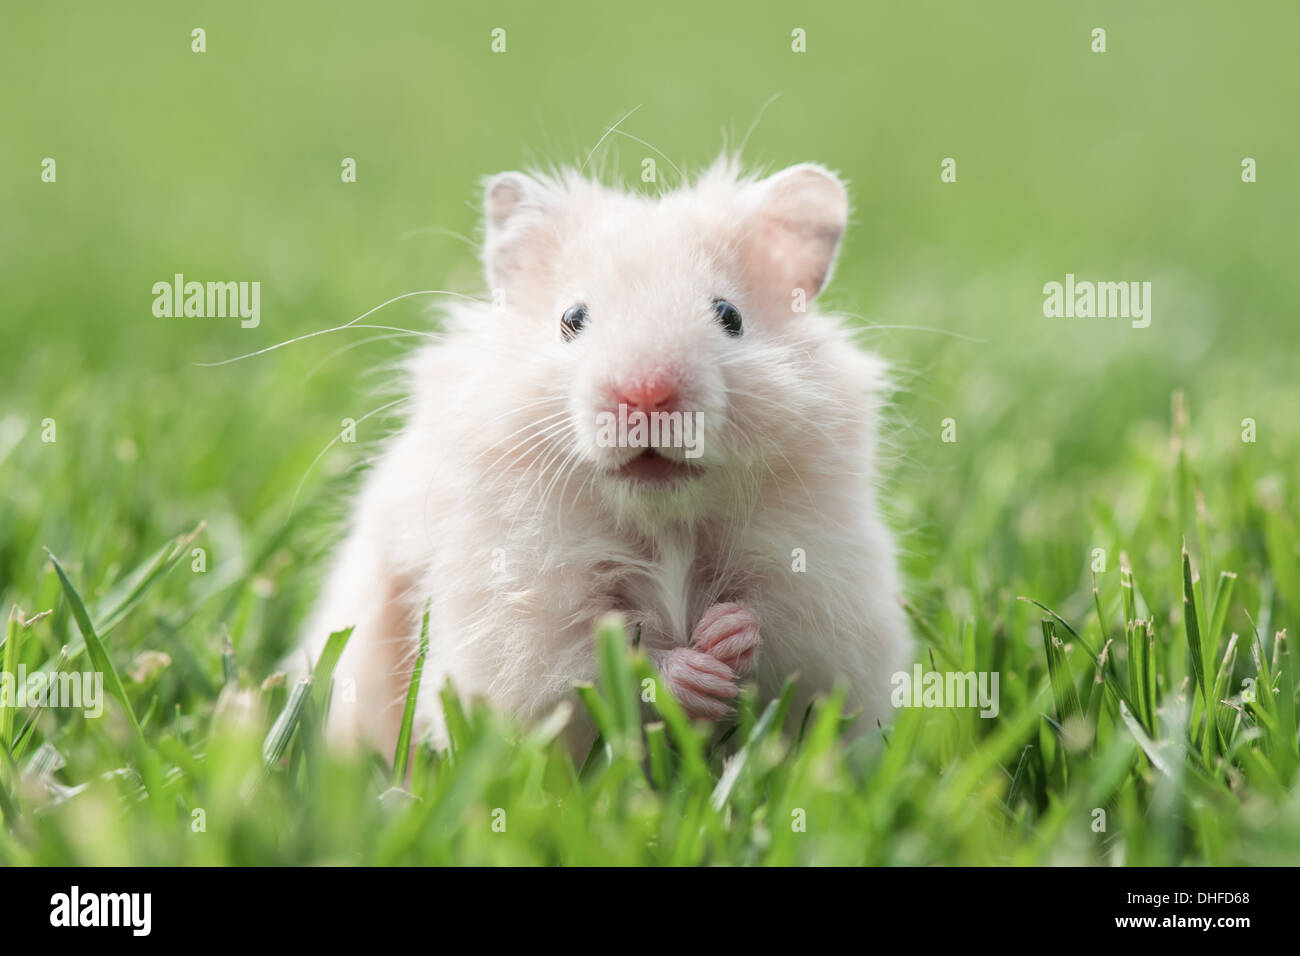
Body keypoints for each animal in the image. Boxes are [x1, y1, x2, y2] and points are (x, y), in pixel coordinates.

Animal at [301, 155, 915, 754]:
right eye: (572, 319)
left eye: (730, 315)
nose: (646, 393)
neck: (664, 521)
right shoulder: (521, 627)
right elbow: (605, 662)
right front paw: (695, 675)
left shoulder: (825, 600)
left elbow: (778, 634)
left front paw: (725, 635)